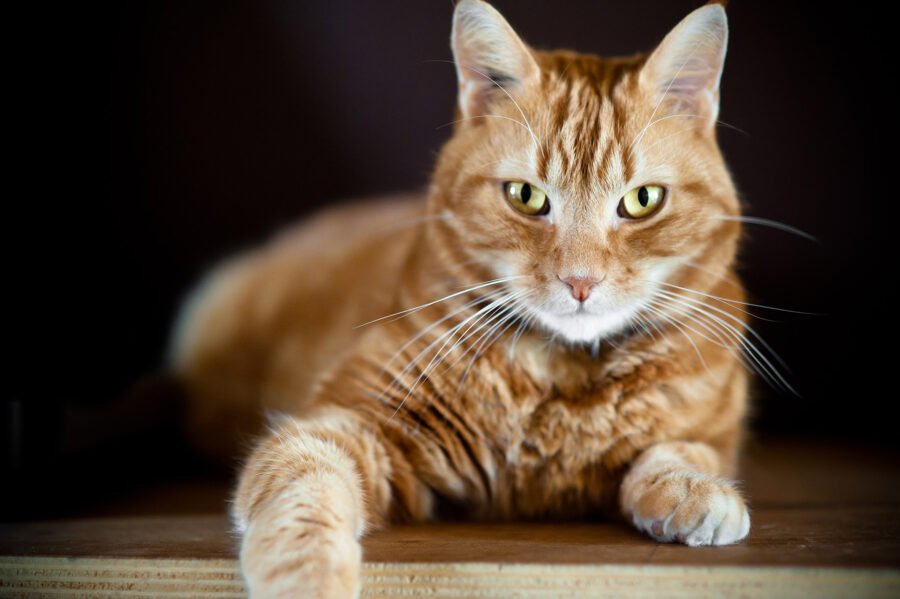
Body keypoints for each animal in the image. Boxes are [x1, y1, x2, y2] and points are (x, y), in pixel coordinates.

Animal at [172, 3, 748, 596]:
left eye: (642, 200)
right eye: (526, 196)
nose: (580, 281)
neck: (560, 386)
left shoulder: (715, 430)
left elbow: (683, 448)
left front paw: (694, 487)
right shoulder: (349, 422)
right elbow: (303, 486)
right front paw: (310, 581)